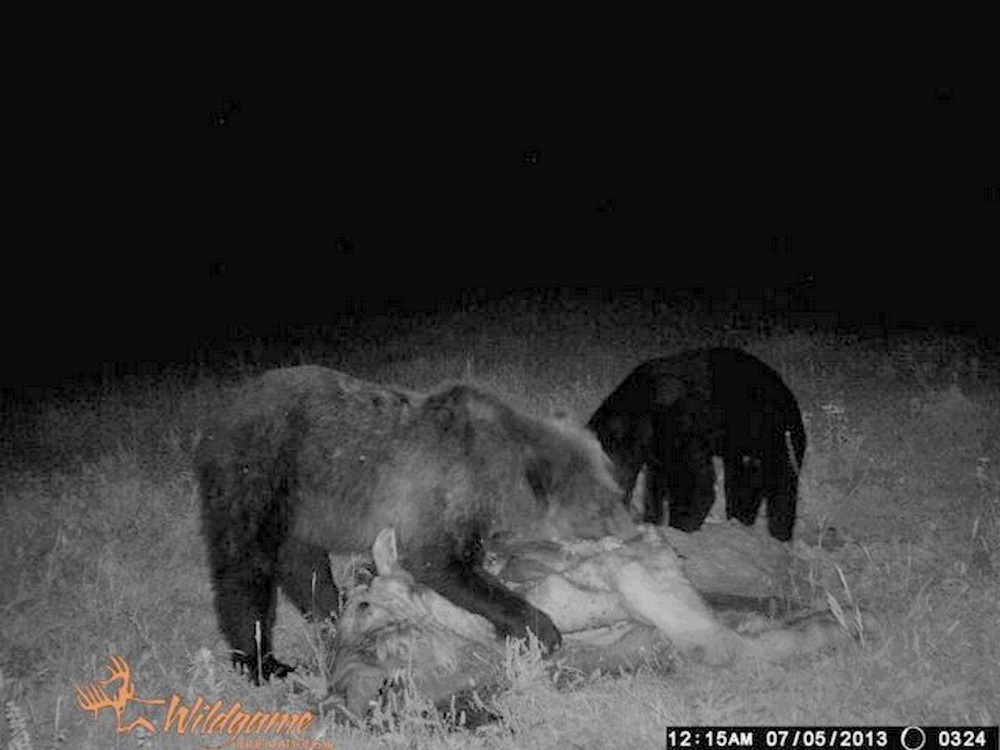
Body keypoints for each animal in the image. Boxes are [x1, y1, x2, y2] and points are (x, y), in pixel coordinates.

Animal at [195, 365, 629, 683]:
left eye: (617, 491)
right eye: (600, 507)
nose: (631, 530)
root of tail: (218, 419)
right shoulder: (437, 495)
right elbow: (440, 563)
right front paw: (539, 626)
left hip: (304, 502)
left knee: (302, 563)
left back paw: (331, 612)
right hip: (258, 474)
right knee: (245, 569)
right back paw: (263, 662)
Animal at [587, 348, 806, 541]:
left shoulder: (682, 424)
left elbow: (696, 482)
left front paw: (680, 529)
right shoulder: (655, 446)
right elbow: (657, 481)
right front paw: (652, 521)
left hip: (779, 437)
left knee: (783, 487)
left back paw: (778, 534)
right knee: (743, 483)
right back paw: (739, 523)